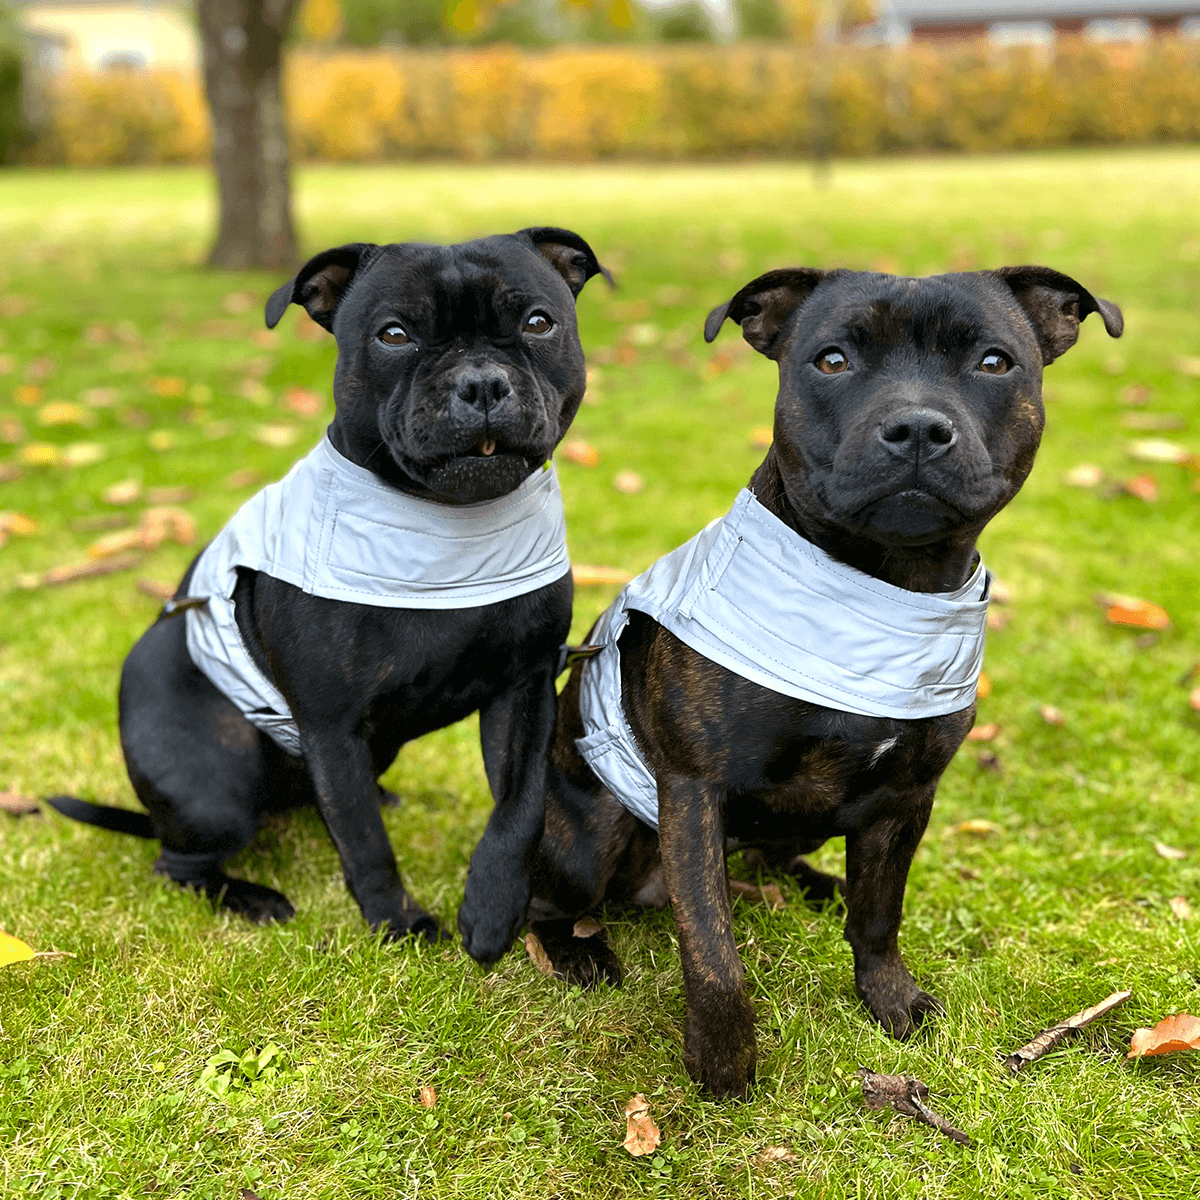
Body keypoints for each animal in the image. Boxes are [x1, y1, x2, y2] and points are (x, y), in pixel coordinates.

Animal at [50, 226, 604, 964]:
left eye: (539, 322)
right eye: (394, 334)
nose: (481, 381)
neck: (447, 535)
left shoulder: (525, 688)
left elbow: (520, 808)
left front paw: (492, 911)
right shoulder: (331, 721)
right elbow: (365, 842)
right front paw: (398, 922)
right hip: (214, 791)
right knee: (181, 861)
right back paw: (251, 897)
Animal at [528, 262, 1123, 1099]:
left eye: (994, 362)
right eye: (833, 360)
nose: (916, 427)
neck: (881, 595)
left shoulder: (907, 795)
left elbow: (879, 915)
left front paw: (890, 1000)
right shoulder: (693, 787)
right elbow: (713, 955)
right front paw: (723, 1068)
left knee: (767, 863)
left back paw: (815, 885)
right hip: (594, 827)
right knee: (553, 900)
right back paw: (582, 950)